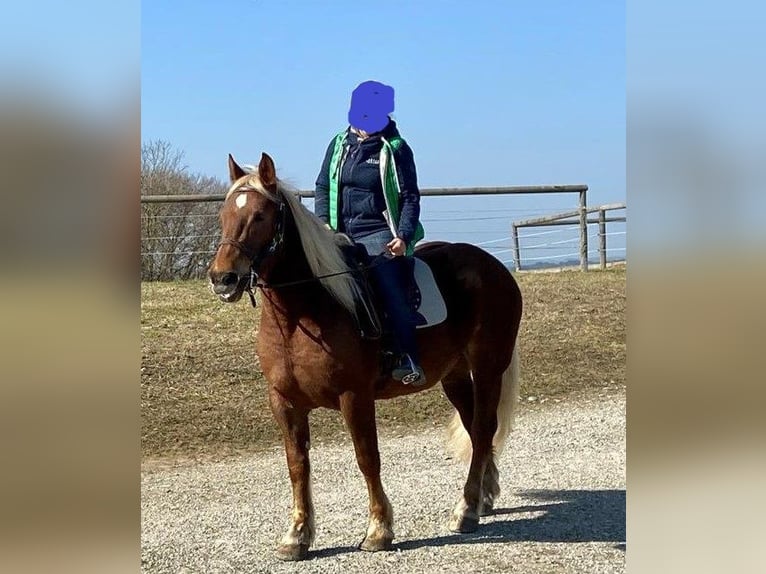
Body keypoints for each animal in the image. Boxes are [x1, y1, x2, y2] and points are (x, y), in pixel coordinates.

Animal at [207, 153, 524, 564]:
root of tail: (496, 268)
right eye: (224, 214)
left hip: (488, 368)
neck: (303, 314)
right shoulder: (284, 402)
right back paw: (483, 496)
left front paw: (378, 529)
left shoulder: (354, 397)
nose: (223, 278)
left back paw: (467, 508)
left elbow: (366, 458)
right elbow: (297, 466)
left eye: (261, 215)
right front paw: (297, 535)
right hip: (454, 375)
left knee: (484, 428)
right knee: (475, 429)